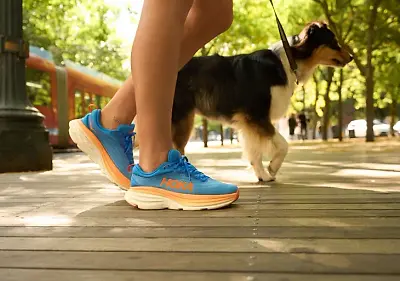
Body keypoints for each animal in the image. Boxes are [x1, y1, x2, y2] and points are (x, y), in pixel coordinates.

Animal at [136, 20, 352, 180]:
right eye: (333, 42)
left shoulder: (249, 123)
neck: (289, 62)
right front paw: (272, 168)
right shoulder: (256, 116)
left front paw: (262, 175)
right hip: (181, 118)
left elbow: (254, 152)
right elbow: (283, 144)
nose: (351, 56)